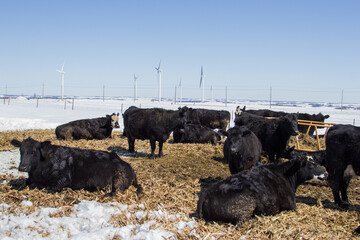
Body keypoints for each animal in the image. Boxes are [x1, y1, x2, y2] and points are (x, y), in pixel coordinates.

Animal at [9, 137, 142, 195]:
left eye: (34, 152)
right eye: (20, 150)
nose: (22, 167)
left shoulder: (62, 179)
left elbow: (48, 188)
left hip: (118, 180)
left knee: (116, 192)